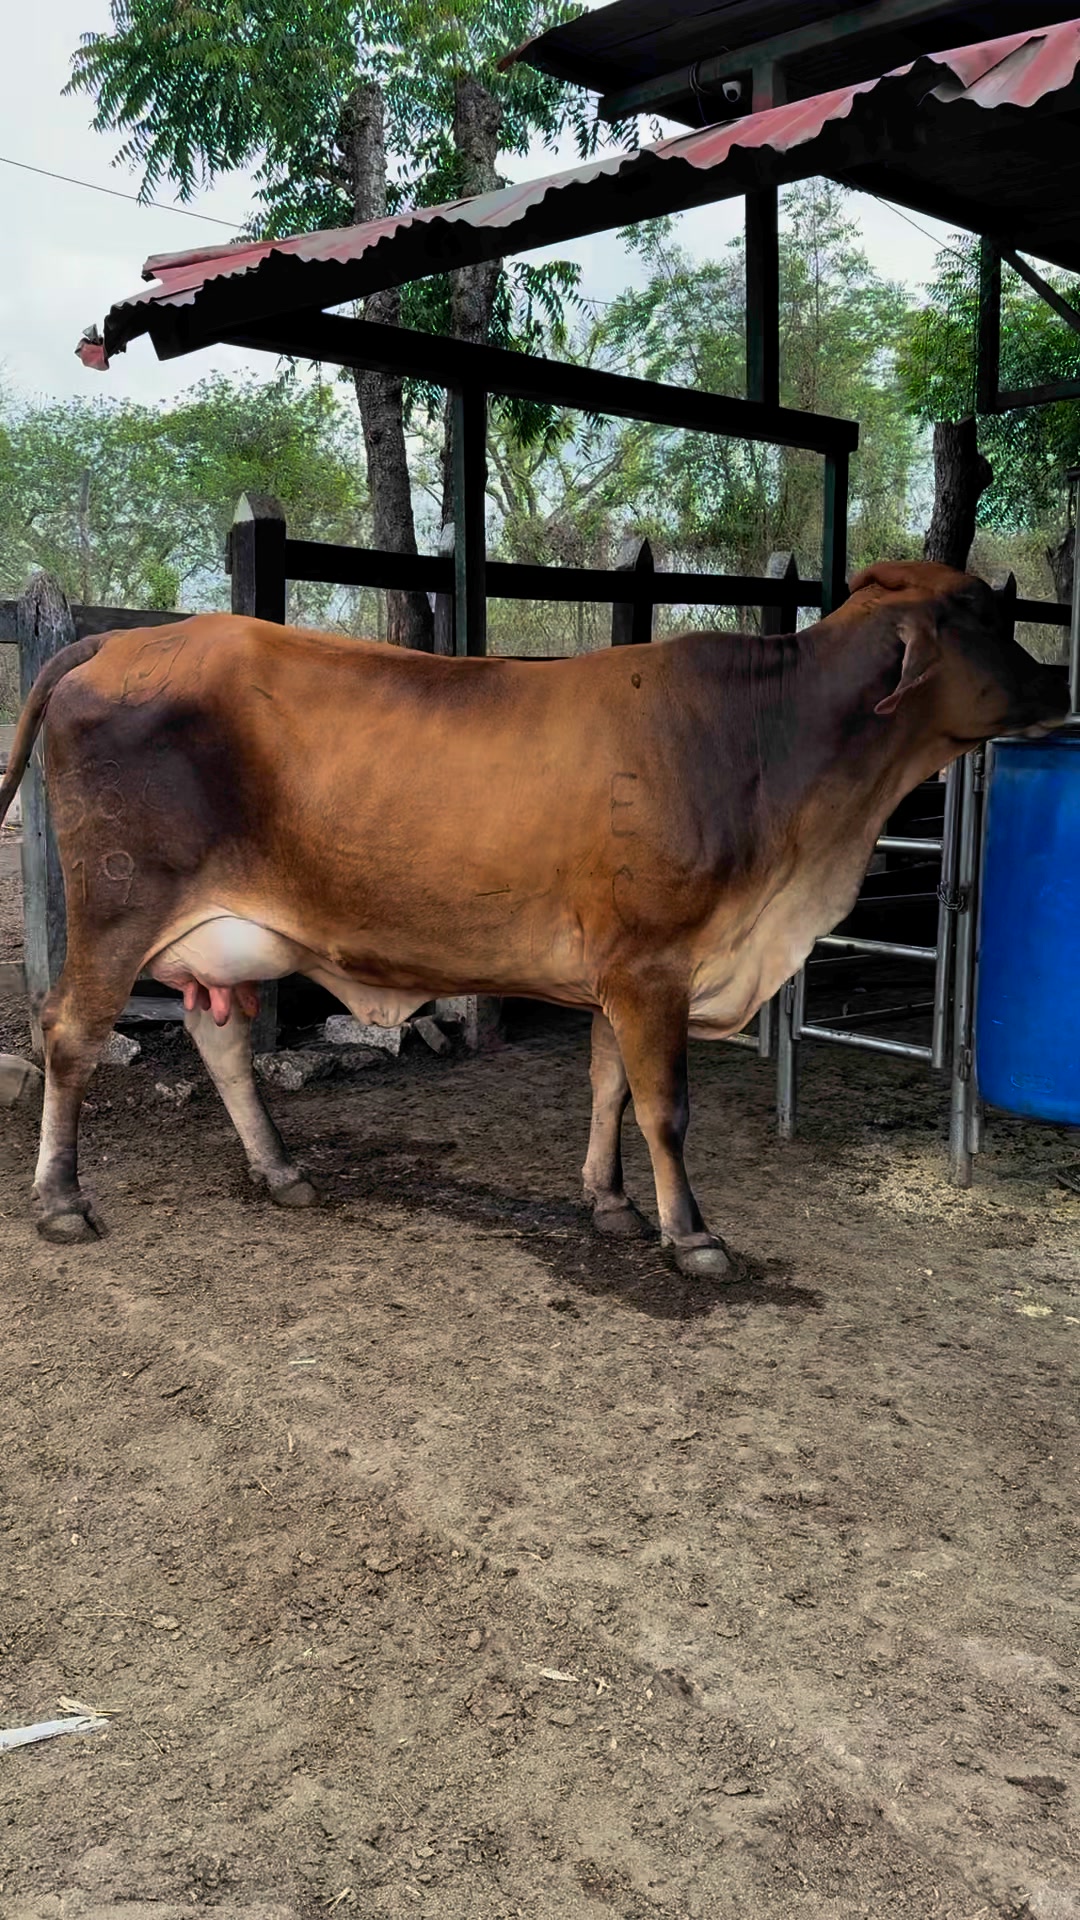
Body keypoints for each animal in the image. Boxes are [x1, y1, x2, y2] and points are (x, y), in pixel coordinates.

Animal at [0, 561, 1067, 1265]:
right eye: (977, 613)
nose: (1059, 679)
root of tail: (124, 637)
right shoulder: (653, 964)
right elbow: (666, 1107)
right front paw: (692, 1233)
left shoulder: (620, 969)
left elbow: (609, 1088)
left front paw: (611, 1204)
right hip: (117, 902)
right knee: (70, 1030)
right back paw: (61, 1200)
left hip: (222, 938)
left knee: (218, 1039)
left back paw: (281, 1171)